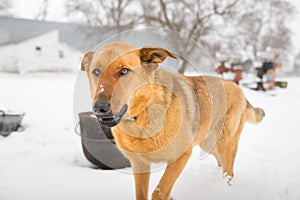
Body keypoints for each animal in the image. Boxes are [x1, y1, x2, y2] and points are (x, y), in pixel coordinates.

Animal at [81, 41, 264, 199]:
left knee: (229, 172)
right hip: (209, 144)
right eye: (96, 72)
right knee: (220, 163)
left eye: (124, 71)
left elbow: (159, 192)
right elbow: (142, 194)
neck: (144, 113)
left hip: (225, 143)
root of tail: (237, 87)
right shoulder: (140, 165)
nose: (99, 108)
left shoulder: (180, 157)